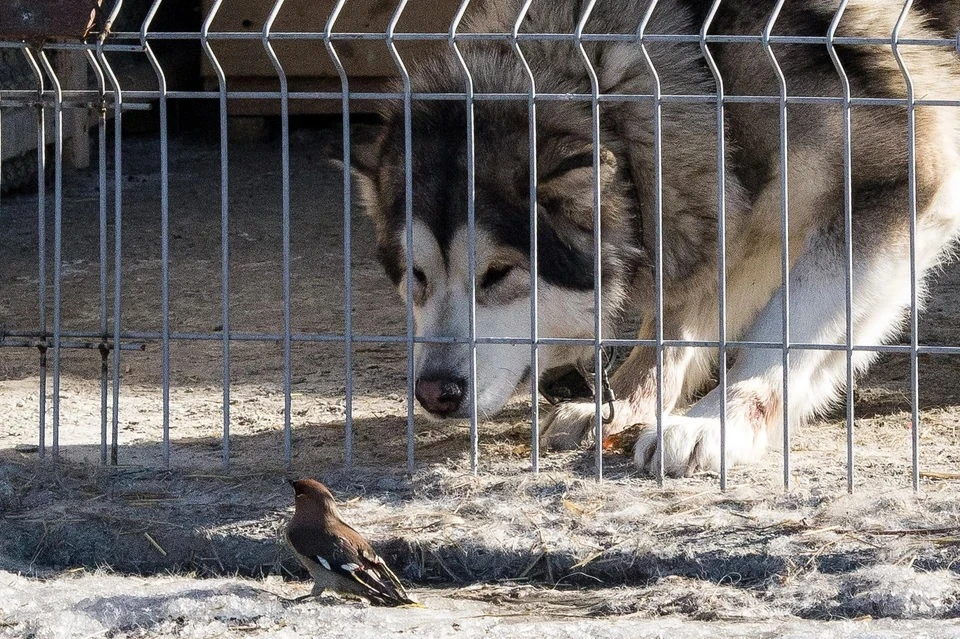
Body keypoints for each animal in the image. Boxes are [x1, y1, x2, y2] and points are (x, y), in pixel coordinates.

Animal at [350, 0, 960, 478]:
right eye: (416, 277)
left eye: (498, 273)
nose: (435, 392)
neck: (707, 61)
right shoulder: (727, 207)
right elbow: (678, 318)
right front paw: (628, 399)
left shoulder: (898, 187)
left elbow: (783, 333)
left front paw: (717, 421)